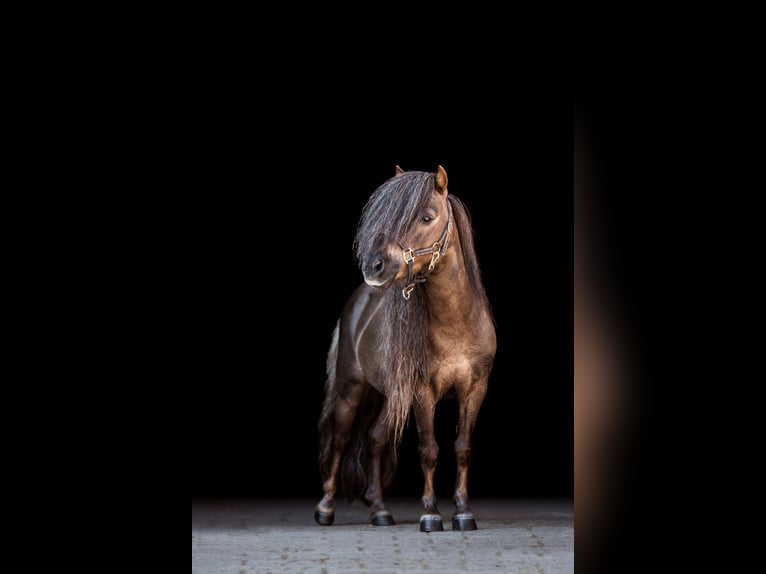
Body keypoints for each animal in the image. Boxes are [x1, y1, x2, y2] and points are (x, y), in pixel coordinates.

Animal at [314, 164, 498, 532]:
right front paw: (430, 514)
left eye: (427, 217)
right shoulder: (423, 391)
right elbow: (429, 450)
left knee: (375, 439)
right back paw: (325, 509)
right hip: (351, 388)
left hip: (390, 396)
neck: (457, 324)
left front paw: (463, 512)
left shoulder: (475, 390)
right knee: (341, 440)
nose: (374, 266)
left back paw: (380, 510)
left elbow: (462, 448)